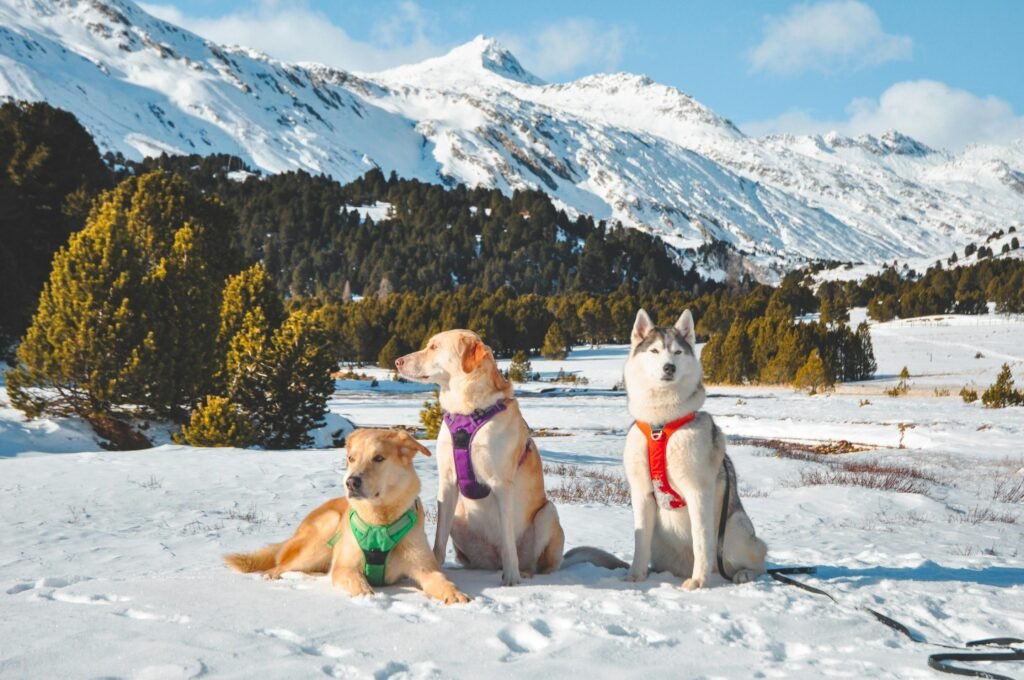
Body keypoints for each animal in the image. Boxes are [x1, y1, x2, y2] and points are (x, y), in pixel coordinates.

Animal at [226, 428, 468, 602]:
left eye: (378, 458)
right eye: (351, 458)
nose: (351, 482)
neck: (379, 522)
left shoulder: (425, 568)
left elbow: (441, 581)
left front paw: (455, 594)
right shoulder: (346, 567)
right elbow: (357, 583)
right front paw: (367, 597)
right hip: (324, 532)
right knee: (281, 566)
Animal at [397, 329, 622, 585]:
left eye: (434, 347)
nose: (397, 362)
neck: (467, 412)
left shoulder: (501, 485)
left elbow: (507, 540)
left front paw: (512, 579)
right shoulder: (447, 483)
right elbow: (439, 540)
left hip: (548, 513)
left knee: (539, 564)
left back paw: (524, 572)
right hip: (459, 515)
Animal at [618, 309, 765, 589]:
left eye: (677, 352)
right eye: (654, 351)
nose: (669, 367)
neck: (661, 424)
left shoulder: (698, 491)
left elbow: (701, 541)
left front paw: (698, 581)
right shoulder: (641, 491)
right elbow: (639, 539)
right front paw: (635, 576)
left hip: (734, 527)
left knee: (758, 562)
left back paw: (741, 574)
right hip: (661, 544)